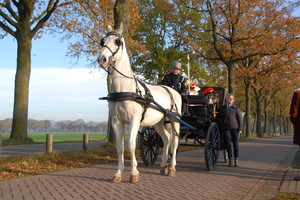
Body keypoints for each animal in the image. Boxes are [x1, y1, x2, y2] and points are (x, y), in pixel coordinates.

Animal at [98, 23, 180, 183]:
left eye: (117, 41)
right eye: (103, 41)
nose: (102, 58)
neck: (125, 89)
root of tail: (172, 90)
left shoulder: (134, 119)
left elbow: (131, 144)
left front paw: (134, 173)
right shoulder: (116, 121)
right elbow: (120, 146)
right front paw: (118, 174)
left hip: (175, 119)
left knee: (175, 142)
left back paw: (172, 168)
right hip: (158, 122)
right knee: (167, 139)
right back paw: (163, 166)